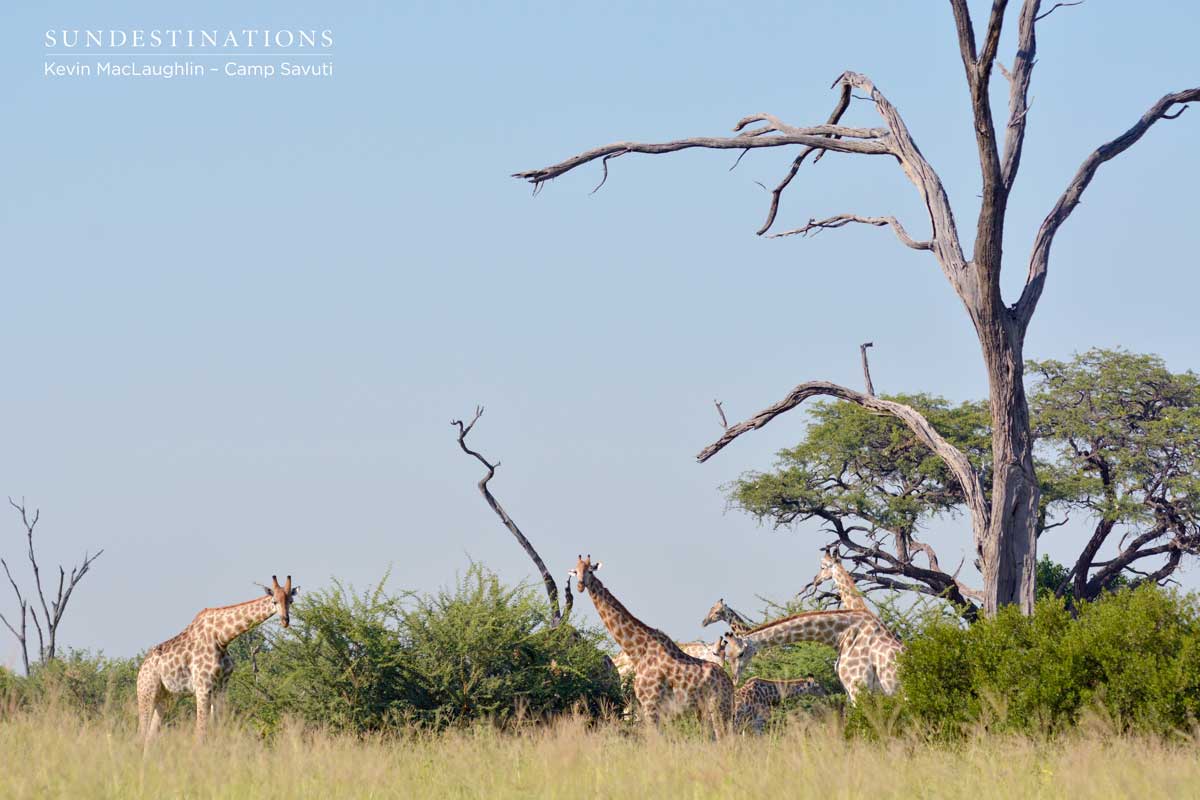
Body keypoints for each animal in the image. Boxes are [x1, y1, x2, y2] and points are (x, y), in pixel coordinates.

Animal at [137, 575, 298, 738]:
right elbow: (201, 731)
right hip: (147, 693)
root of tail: (142, 668)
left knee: (151, 734)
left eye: (291, 601)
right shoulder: (203, 687)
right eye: (274, 601)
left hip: (165, 697)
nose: (285, 621)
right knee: (142, 732)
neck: (221, 638)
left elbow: (218, 727)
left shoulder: (221, 686)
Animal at [568, 556, 729, 738]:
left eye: (590, 571)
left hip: (718, 708)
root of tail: (730, 684)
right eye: (575, 571)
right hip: (707, 711)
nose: (580, 585)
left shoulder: (650, 704)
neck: (637, 650)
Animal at [720, 609, 902, 705]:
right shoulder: (850, 690)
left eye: (740, 654)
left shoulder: (859, 687)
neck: (840, 636)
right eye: (727, 656)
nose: (735, 679)